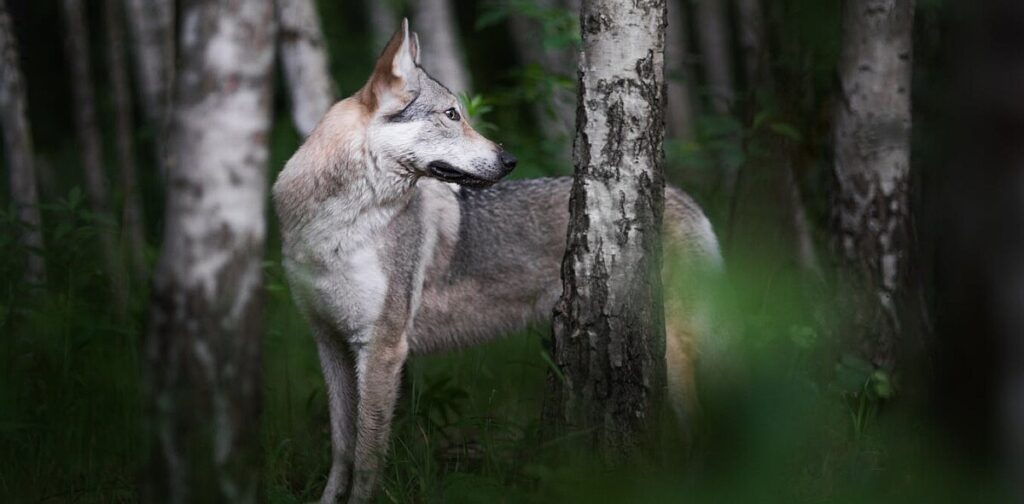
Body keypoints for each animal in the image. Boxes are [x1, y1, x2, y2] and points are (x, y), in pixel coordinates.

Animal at [272, 19, 722, 503]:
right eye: (452, 115)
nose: (509, 160)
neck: (334, 226)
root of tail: (684, 198)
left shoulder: (382, 348)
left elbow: (368, 458)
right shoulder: (330, 343)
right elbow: (343, 448)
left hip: (676, 353)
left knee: (700, 431)